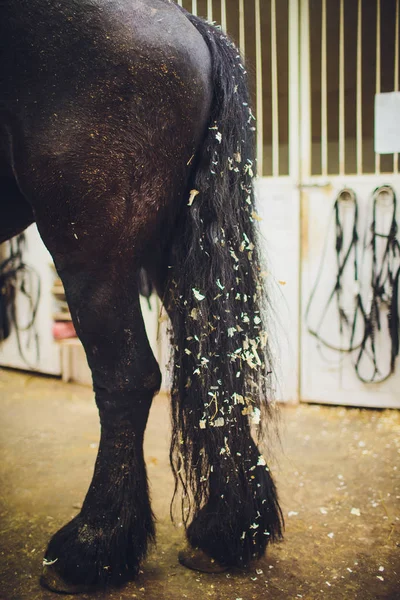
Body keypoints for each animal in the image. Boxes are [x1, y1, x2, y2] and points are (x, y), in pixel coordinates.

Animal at [0, 0, 282, 592]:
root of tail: (190, 23)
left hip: (89, 247)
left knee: (127, 379)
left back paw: (91, 549)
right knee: (214, 368)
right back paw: (227, 533)